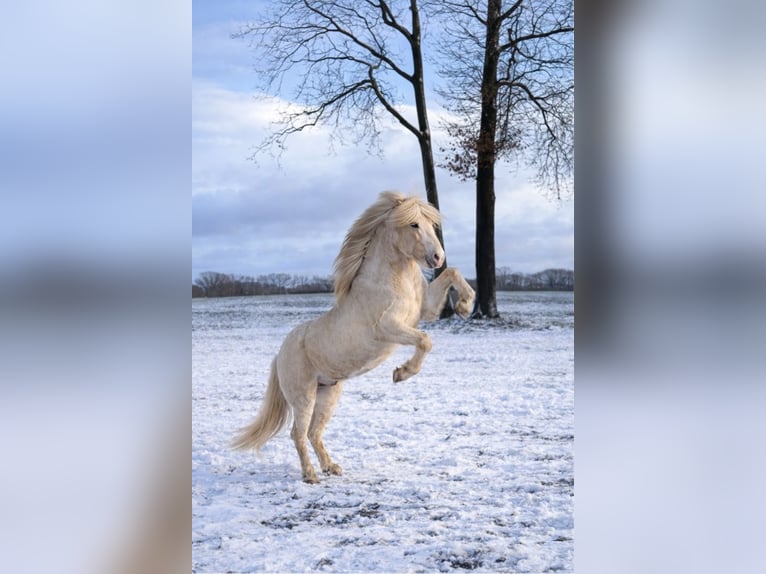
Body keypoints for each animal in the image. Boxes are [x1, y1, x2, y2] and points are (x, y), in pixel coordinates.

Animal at [232, 191, 475, 483]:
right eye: (414, 224)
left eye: (430, 223)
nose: (437, 257)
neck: (390, 281)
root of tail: (280, 354)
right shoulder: (389, 327)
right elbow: (425, 340)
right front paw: (401, 373)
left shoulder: (425, 310)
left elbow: (453, 273)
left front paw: (465, 307)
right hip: (304, 396)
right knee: (298, 434)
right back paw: (310, 476)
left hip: (328, 394)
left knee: (314, 433)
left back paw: (331, 467)